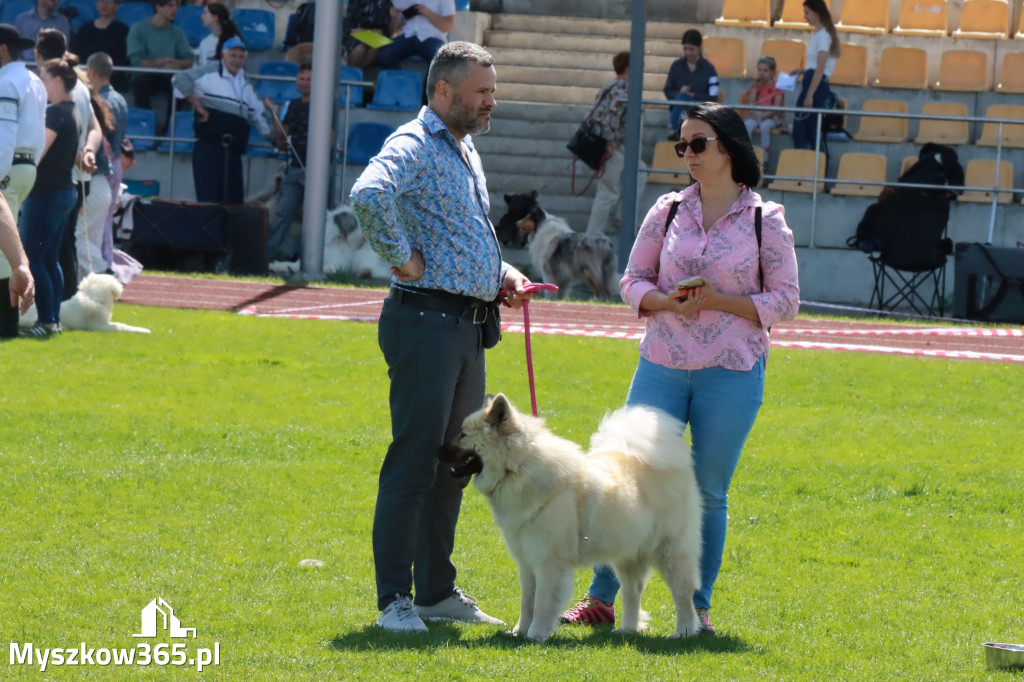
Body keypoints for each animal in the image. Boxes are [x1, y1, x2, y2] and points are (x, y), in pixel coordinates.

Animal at [456, 391, 704, 638]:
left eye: (462, 435)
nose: (443, 448)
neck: (518, 468)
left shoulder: (549, 562)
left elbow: (542, 603)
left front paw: (536, 634)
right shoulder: (526, 562)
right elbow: (527, 602)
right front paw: (520, 631)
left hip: (671, 552)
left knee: (683, 595)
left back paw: (684, 631)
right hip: (628, 556)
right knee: (632, 593)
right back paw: (627, 629)